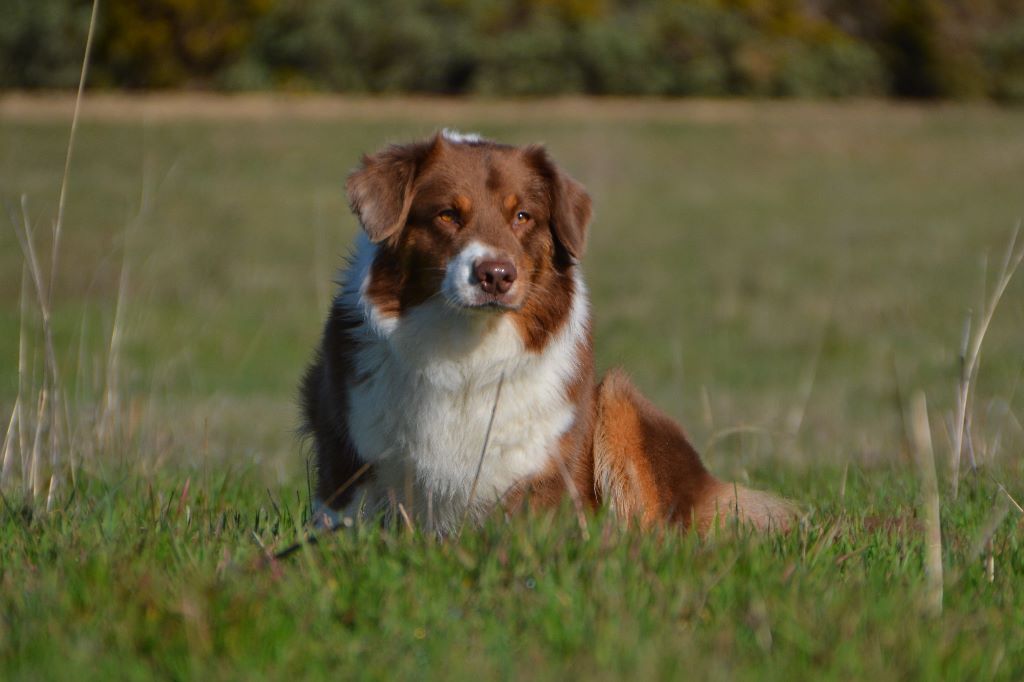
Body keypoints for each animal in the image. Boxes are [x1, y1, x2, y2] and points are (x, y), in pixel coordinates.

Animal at [299, 127, 794, 532]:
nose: (496, 275)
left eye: (523, 216)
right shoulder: (347, 464)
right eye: (446, 215)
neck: (466, 351)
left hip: (619, 399)